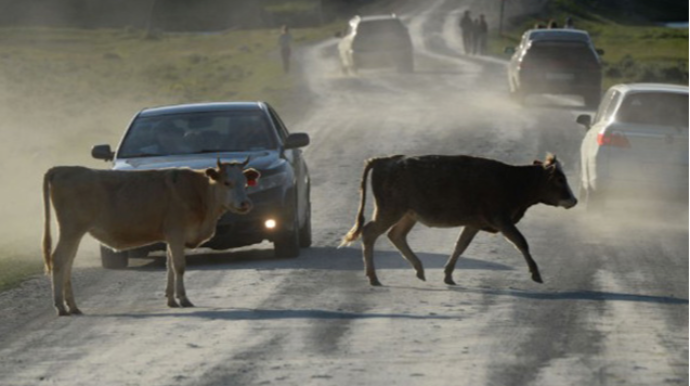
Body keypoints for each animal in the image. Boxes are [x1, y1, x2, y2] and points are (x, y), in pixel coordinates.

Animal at [43, 160, 258, 316]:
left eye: (245, 183)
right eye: (227, 183)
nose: (245, 203)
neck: (198, 191)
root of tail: (61, 169)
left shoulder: (171, 237)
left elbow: (170, 267)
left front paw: (171, 299)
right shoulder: (176, 234)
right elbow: (179, 267)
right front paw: (184, 299)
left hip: (75, 233)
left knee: (67, 263)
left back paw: (72, 306)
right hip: (71, 230)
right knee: (59, 260)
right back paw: (60, 306)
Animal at [342, 154, 576, 286]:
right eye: (559, 179)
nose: (573, 200)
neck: (512, 180)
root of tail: (384, 161)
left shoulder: (473, 224)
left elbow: (460, 246)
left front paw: (448, 275)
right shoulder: (502, 220)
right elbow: (521, 242)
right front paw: (535, 274)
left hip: (407, 215)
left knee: (396, 235)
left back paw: (419, 270)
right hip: (389, 211)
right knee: (370, 233)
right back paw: (373, 278)